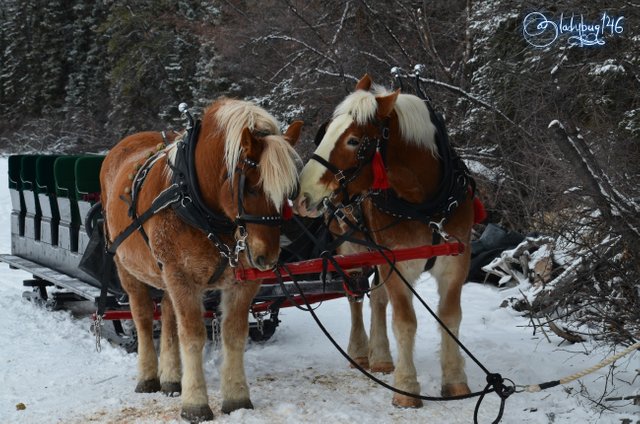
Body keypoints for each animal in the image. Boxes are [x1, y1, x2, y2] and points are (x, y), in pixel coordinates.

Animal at [100, 98, 302, 420]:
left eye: (290, 191)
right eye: (251, 187)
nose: (266, 257)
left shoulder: (241, 283)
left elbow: (233, 335)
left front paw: (237, 397)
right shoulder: (181, 276)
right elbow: (193, 336)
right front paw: (195, 403)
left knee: (168, 317)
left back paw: (171, 379)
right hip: (126, 267)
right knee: (143, 318)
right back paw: (148, 376)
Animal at [296, 75, 476, 408]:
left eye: (354, 141)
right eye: (325, 132)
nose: (302, 195)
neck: (426, 206)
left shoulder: (456, 262)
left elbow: (450, 317)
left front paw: (455, 381)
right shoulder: (397, 263)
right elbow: (405, 321)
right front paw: (406, 388)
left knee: (377, 299)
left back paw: (380, 356)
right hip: (350, 249)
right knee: (355, 297)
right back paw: (359, 351)